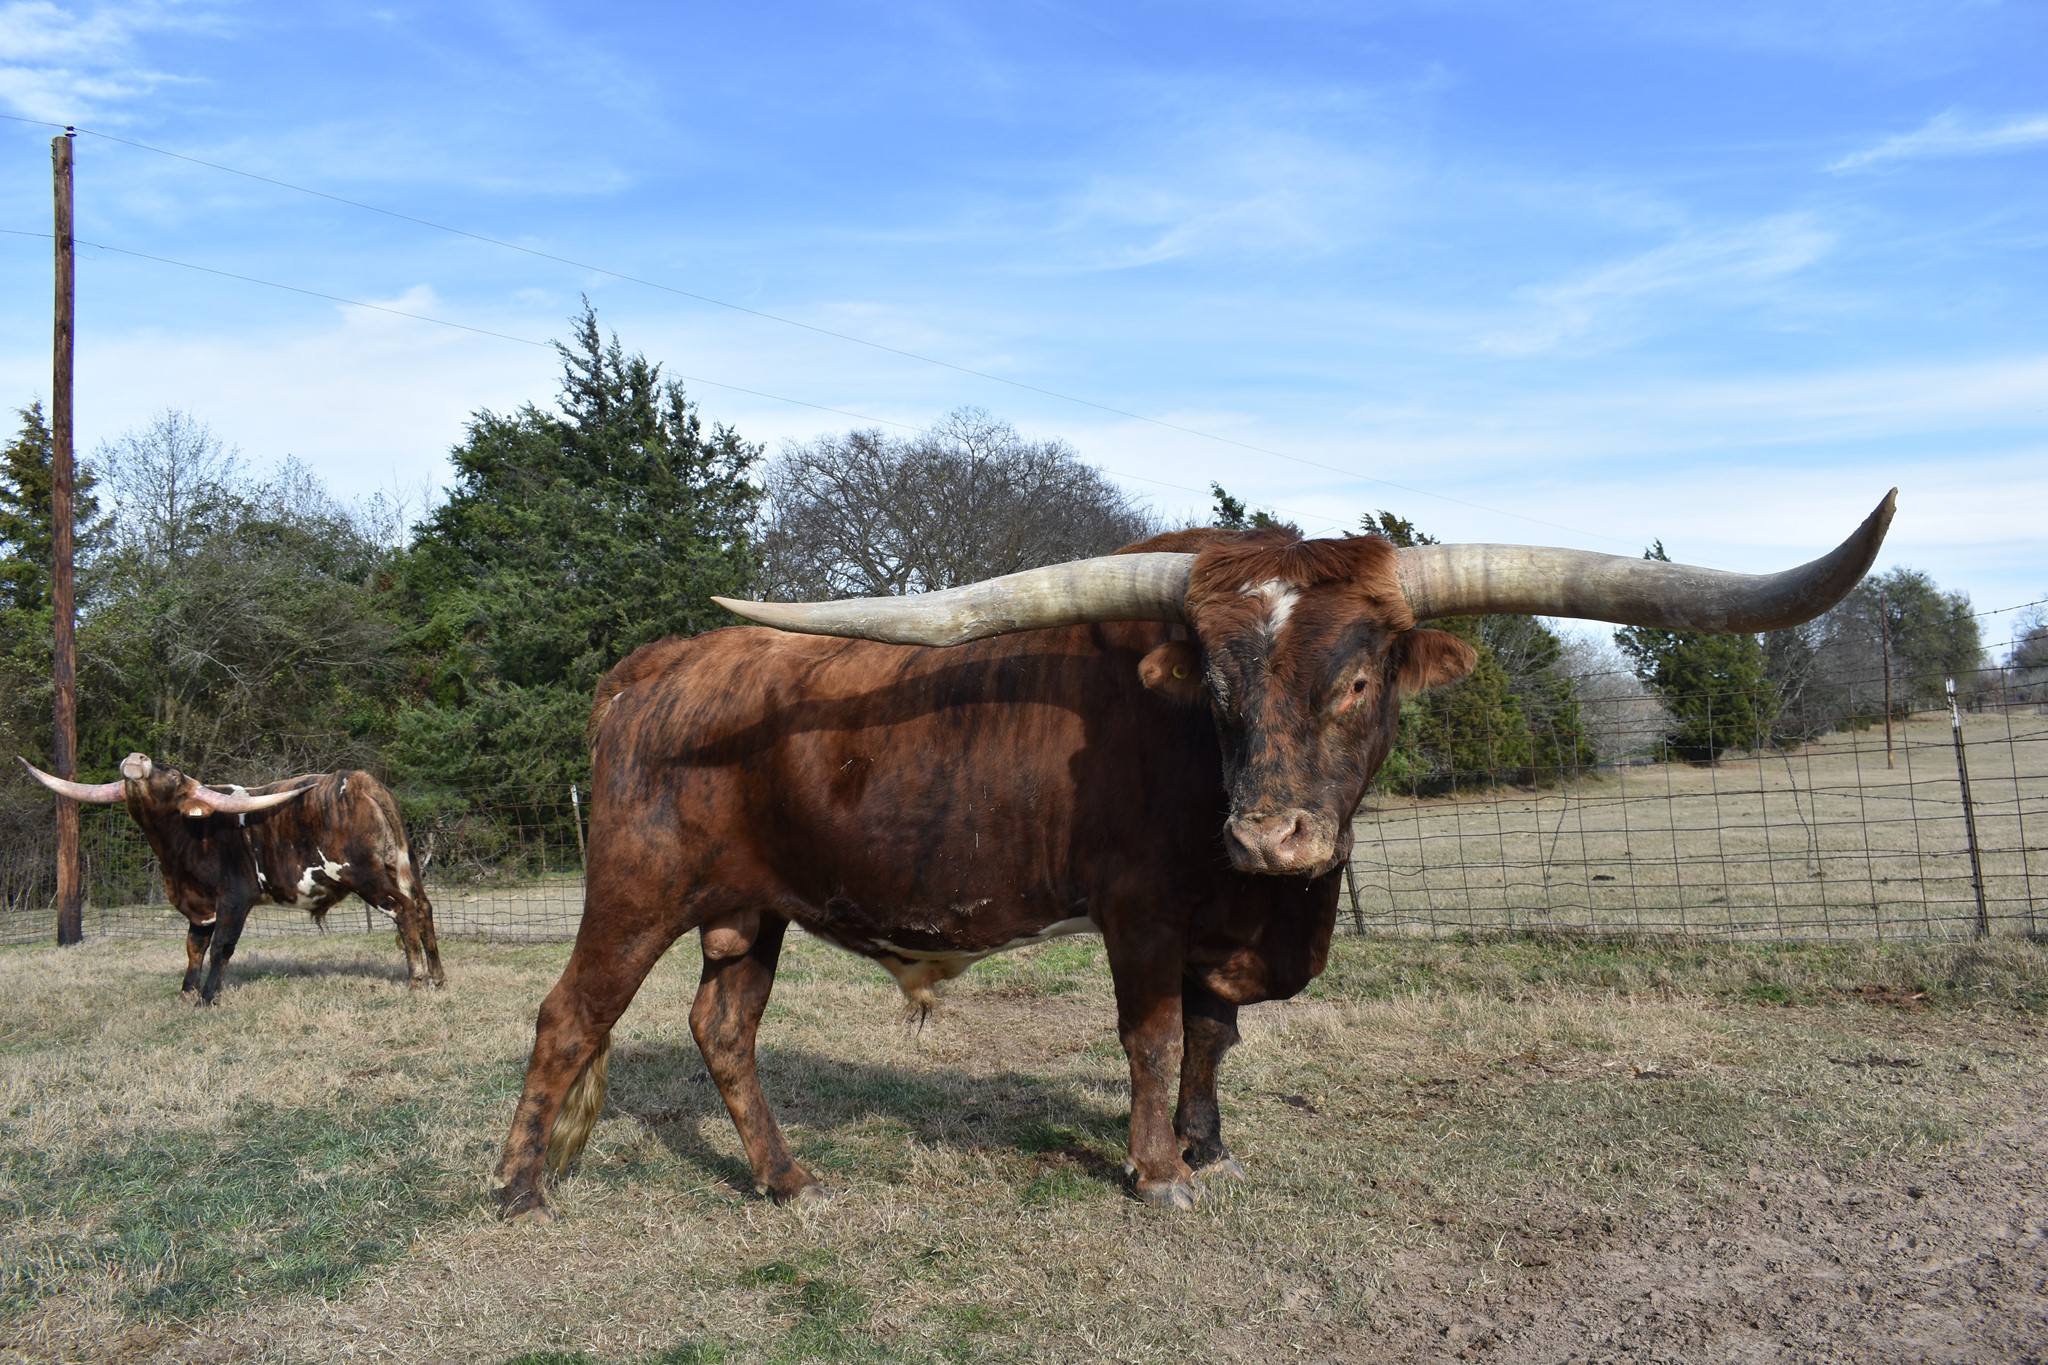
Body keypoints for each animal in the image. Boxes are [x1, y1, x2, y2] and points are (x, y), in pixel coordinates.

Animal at [18, 753, 444, 1003]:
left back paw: (417, 981)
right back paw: (438, 978)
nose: (137, 758)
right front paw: (186, 993)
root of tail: (357, 780)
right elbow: (194, 948)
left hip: (366, 876)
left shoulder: (235, 898)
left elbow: (221, 947)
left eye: (173, 774)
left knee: (404, 911)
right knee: (423, 908)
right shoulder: (199, 907)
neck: (184, 840)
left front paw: (208, 998)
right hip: (401, 868)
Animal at [491, 493, 1896, 1221]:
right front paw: (1157, 1169)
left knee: (720, 1028)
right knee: (570, 1016)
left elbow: (1215, 1037)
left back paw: (786, 1181)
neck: (1270, 904)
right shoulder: (1140, 914)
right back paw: (514, 1187)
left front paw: (1205, 1143)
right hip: (634, 886)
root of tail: (653, 668)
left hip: (750, 909)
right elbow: (1156, 1034)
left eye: (1361, 676)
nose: (1269, 832)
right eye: (1213, 688)